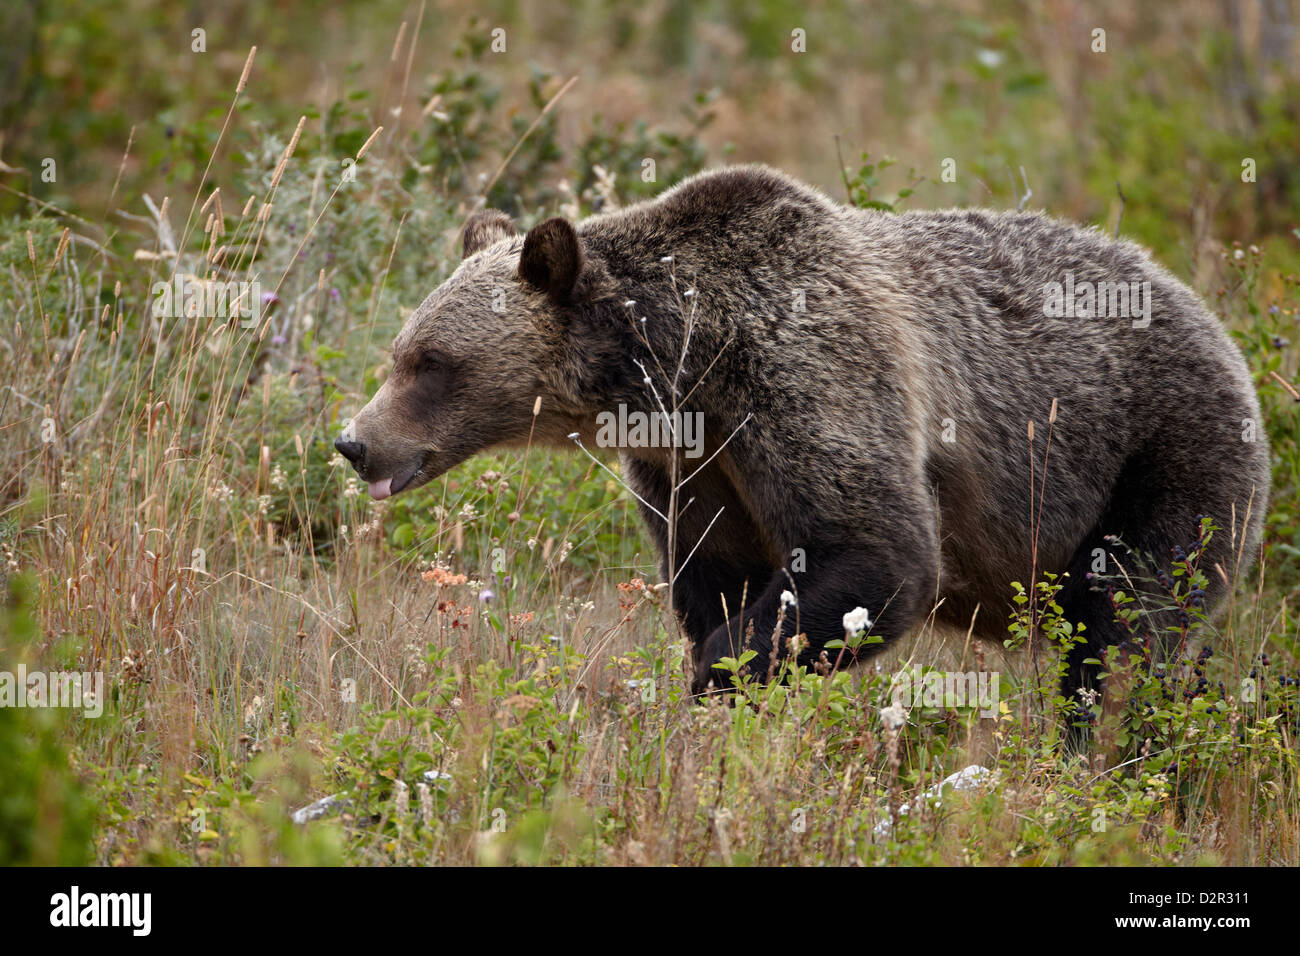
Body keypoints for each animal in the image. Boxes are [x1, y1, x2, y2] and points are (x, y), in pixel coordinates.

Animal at [332, 166, 1268, 733]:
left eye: (432, 363)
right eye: (401, 350)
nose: (354, 442)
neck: (685, 365)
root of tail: (1215, 319)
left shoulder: (808, 377)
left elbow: (878, 554)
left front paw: (710, 684)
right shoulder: (697, 466)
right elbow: (715, 576)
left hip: (1160, 455)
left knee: (1125, 632)